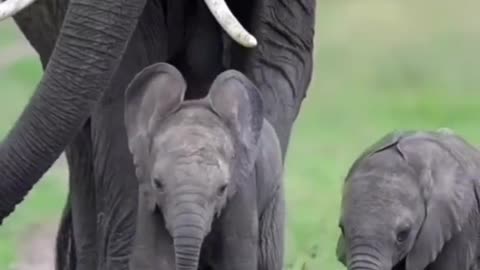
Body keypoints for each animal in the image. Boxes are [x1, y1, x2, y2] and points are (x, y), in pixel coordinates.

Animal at [123, 62, 284, 270]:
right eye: (157, 183)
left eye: (222, 188)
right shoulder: (147, 193)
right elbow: (153, 259)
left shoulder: (243, 190)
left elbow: (236, 260)